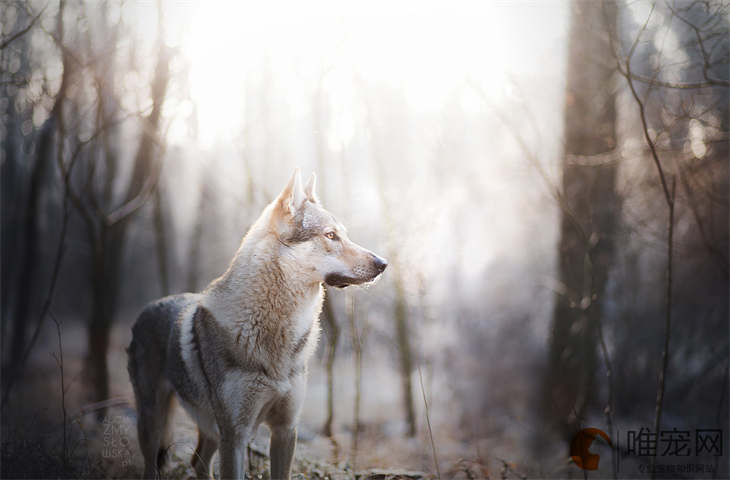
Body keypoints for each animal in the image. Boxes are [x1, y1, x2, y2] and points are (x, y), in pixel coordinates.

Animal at [125, 171, 386, 478]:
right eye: (331, 235)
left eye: (344, 234)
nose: (383, 263)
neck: (277, 332)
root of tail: (148, 307)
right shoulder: (236, 436)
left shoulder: (285, 430)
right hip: (155, 422)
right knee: (154, 464)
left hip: (210, 429)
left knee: (197, 461)